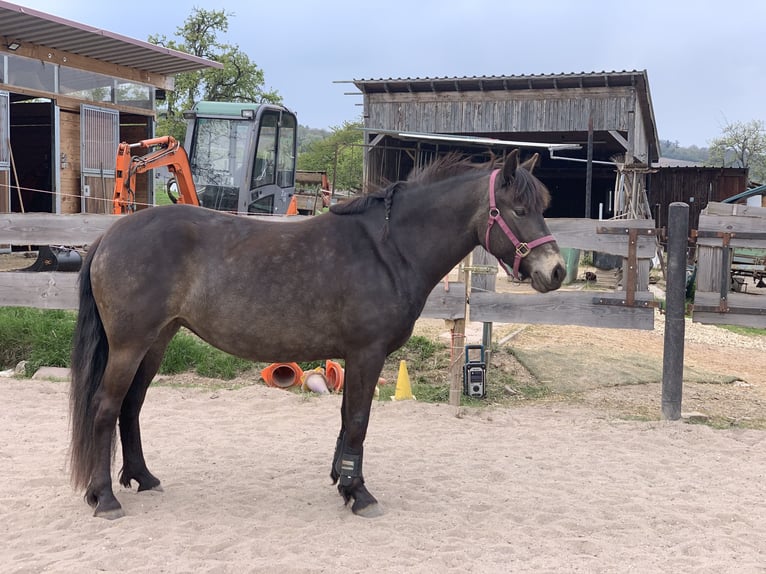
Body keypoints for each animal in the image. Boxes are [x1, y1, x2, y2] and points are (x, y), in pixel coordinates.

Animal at [69, 148, 568, 520]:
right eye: (519, 209)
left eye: (543, 208)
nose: (557, 271)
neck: (388, 250)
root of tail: (109, 236)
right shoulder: (367, 353)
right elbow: (359, 421)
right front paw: (360, 494)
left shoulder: (352, 357)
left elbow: (347, 420)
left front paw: (343, 483)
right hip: (130, 345)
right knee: (105, 408)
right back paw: (104, 498)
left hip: (157, 340)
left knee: (131, 406)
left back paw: (142, 478)